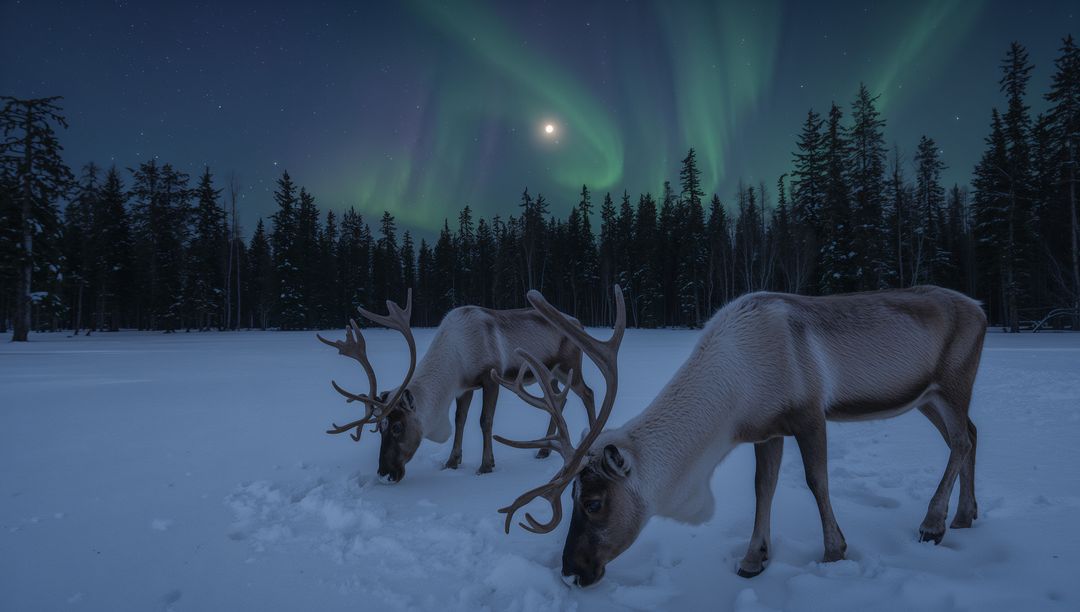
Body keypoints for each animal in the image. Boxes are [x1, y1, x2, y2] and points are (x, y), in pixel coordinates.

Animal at [316, 290, 597, 483]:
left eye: (397, 427)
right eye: (378, 428)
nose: (385, 473)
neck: (456, 361)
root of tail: (580, 323)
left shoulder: (490, 377)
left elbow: (485, 421)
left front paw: (486, 465)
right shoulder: (464, 388)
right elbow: (460, 420)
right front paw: (452, 461)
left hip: (569, 365)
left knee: (588, 392)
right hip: (548, 374)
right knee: (560, 399)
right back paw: (544, 451)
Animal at [491, 284, 986, 587]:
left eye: (593, 502)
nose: (571, 570)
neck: (737, 399)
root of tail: (981, 309)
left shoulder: (809, 412)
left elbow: (816, 481)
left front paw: (834, 551)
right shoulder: (768, 428)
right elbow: (762, 487)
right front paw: (753, 559)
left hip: (955, 379)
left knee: (962, 440)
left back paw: (933, 523)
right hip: (928, 397)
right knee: (971, 434)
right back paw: (965, 515)